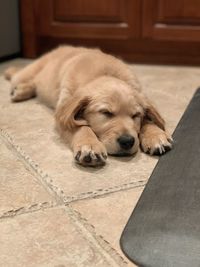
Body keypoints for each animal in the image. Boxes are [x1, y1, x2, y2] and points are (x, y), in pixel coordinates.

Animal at [4, 46, 172, 168]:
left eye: (135, 115)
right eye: (106, 112)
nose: (127, 141)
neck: (103, 73)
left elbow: (148, 120)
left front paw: (155, 135)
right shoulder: (63, 113)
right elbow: (81, 126)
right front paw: (90, 147)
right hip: (27, 72)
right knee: (18, 75)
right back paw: (15, 81)